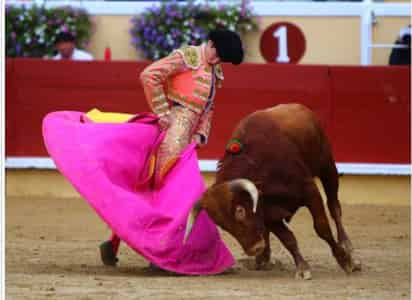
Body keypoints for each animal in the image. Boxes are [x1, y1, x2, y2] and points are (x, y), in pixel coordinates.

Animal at [183, 103, 360, 278]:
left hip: (328, 167)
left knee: (334, 207)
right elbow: (288, 239)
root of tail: (300, 107)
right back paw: (263, 259)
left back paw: (347, 246)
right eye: (222, 225)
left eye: (240, 211)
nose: (254, 249)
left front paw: (345, 260)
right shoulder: (267, 212)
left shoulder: (309, 191)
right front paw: (302, 267)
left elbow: (322, 228)